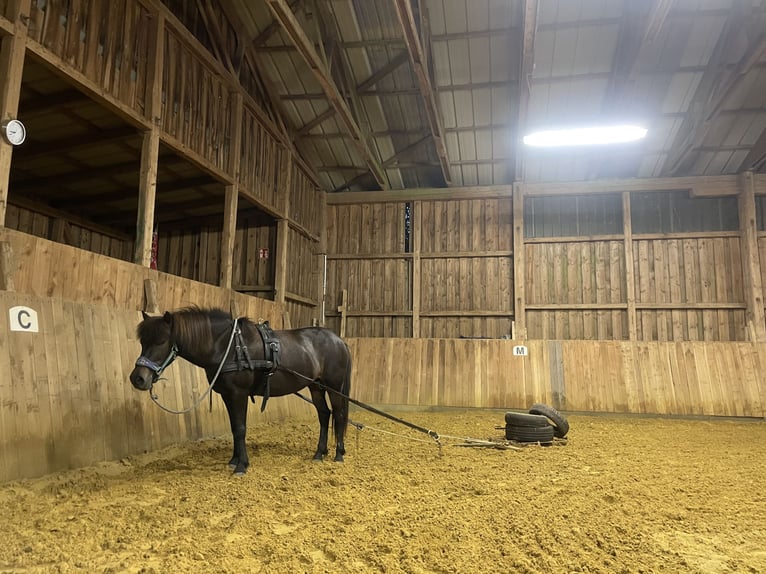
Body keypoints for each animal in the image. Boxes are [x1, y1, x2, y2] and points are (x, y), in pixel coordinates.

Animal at [128, 308, 352, 480]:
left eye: (161, 341)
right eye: (142, 342)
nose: (138, 378)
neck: (227, 347)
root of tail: (339, 341)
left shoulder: (238, 393)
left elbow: (240, 428)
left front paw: (242, 465)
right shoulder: (228, 395)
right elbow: (234, 427)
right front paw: (234, 459)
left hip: (334, 387)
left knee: (339, 415)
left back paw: (339, 454)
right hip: (315, 386)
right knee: (324, 415)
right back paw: (319, 453)